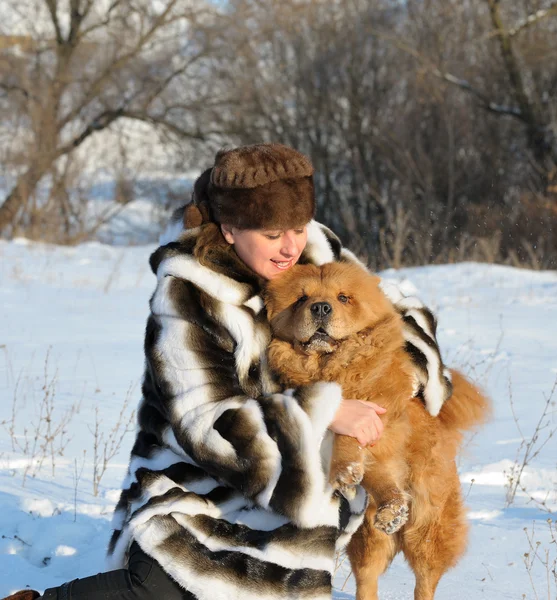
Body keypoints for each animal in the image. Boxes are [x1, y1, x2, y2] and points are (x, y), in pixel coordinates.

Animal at [264, 262, 486, 600]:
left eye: (343, 297)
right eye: (301, 299)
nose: (320, 307)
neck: (330, 366)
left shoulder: (381, 415)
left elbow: (356, 441)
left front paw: (351, 473)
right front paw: (355, 478)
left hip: (427, 525)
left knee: (426, 576)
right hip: (367, 538)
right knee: (368, 574)